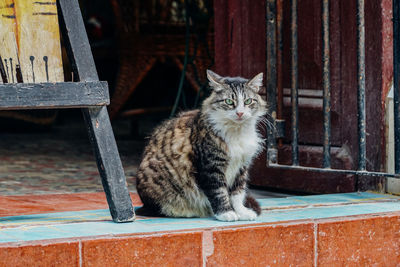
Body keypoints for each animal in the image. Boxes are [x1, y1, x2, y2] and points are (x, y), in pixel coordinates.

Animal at [135, 69, 268, 222]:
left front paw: (241, 212)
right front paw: (226, 213)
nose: (240, 113)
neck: (237, 131)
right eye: (229, 101)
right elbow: (219, 193)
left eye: (248, 101)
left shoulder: (241, 167)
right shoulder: (211, 167)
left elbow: (237, 194)